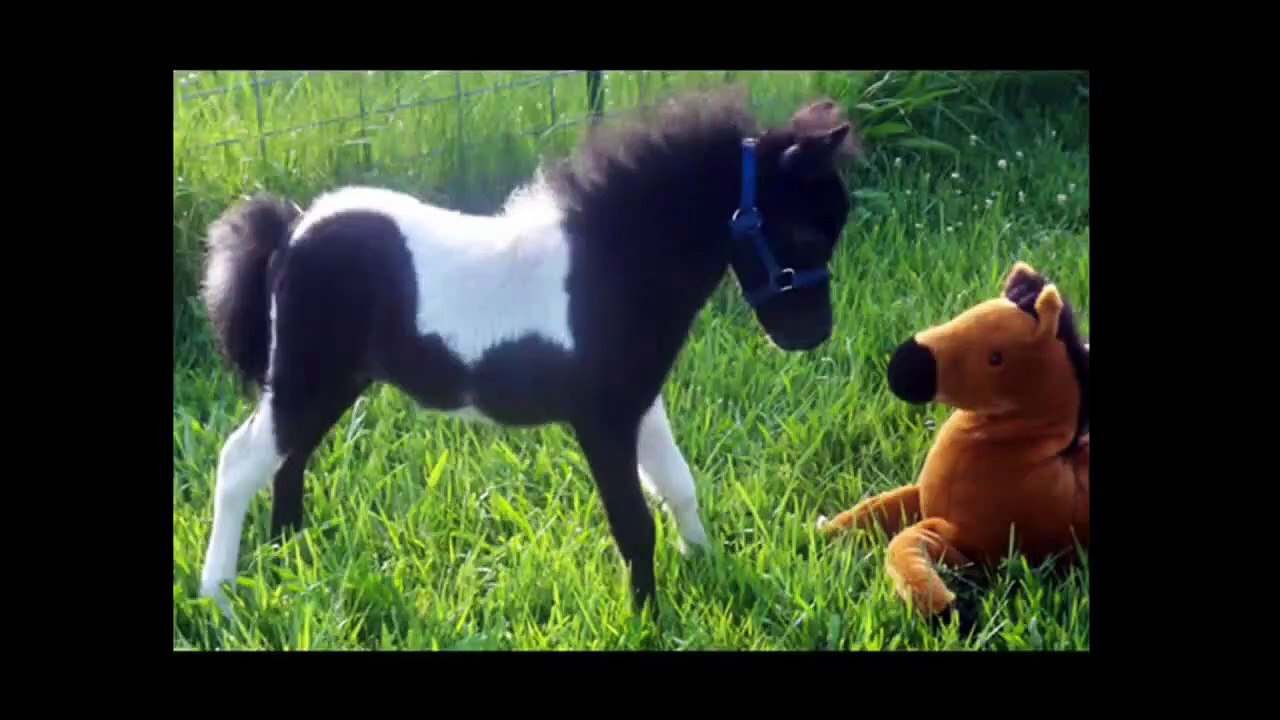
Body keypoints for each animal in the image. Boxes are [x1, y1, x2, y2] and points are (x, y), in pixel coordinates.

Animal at [196, 87, 863, 617]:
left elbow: (678, 484)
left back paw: (290, 555)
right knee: (239, 463)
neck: (608, 264)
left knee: (288, 461)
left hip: (331, 382)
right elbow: (633, 524)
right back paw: (219, 596)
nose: (811, 334)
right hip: (304, 379)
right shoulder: (602, 420)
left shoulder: (641, 404)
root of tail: (291, 230)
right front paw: (649, 617)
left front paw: (705, 564)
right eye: (805, 234)